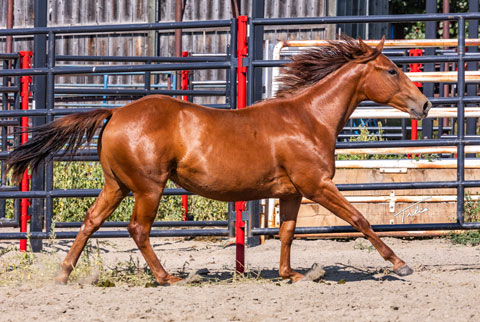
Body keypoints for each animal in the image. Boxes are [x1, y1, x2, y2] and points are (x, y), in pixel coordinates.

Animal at [5, 36, 432, 286]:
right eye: (391, 70)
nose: (425, 105)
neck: (308, 119)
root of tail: (116, 114)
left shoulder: (292, 192)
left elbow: (288, 232)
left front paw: (292, 274)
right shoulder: (317, 185)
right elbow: (360, 219)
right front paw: (400, 264)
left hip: (117, 185)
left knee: (91, 221)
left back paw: (64, 275)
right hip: (148, 187)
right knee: (138, 229)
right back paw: (168, 278)